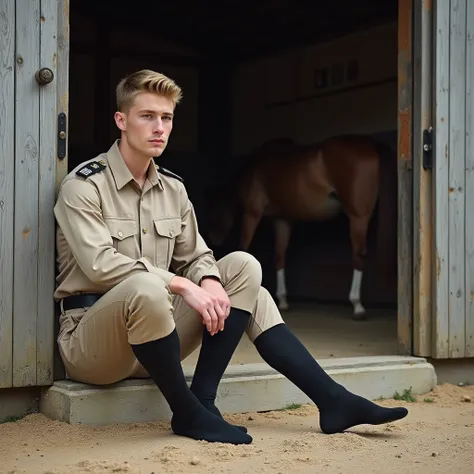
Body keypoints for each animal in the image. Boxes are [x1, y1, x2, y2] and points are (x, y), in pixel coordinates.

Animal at [206, 133, 398, 320]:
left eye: (215, 211)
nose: (213, 240)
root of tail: (371, 143)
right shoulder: (282, 221)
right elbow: (280, 256)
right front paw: (283, 300)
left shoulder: (252, 214)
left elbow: (244, 249)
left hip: (358, 216)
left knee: (359, 254)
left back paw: (357, 305)